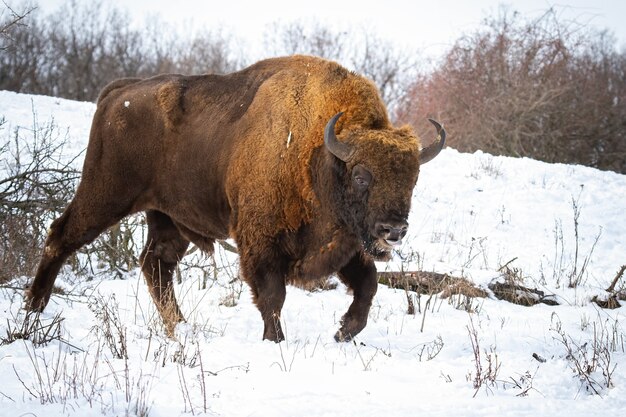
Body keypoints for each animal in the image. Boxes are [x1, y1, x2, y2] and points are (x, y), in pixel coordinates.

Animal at [25, 55, 444, 342]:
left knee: (155, 264)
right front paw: (275, 342)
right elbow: (272, 297)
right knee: (60, 237)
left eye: (413, 178)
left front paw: (343, 332)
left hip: (166, 216)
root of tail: (118, 92)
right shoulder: (260, 244)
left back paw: (181, 328)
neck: (318, 155)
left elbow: (368, 284)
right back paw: (32, 313)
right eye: (360, 176)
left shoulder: (345, 245)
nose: (393, 230)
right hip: (105, 194)